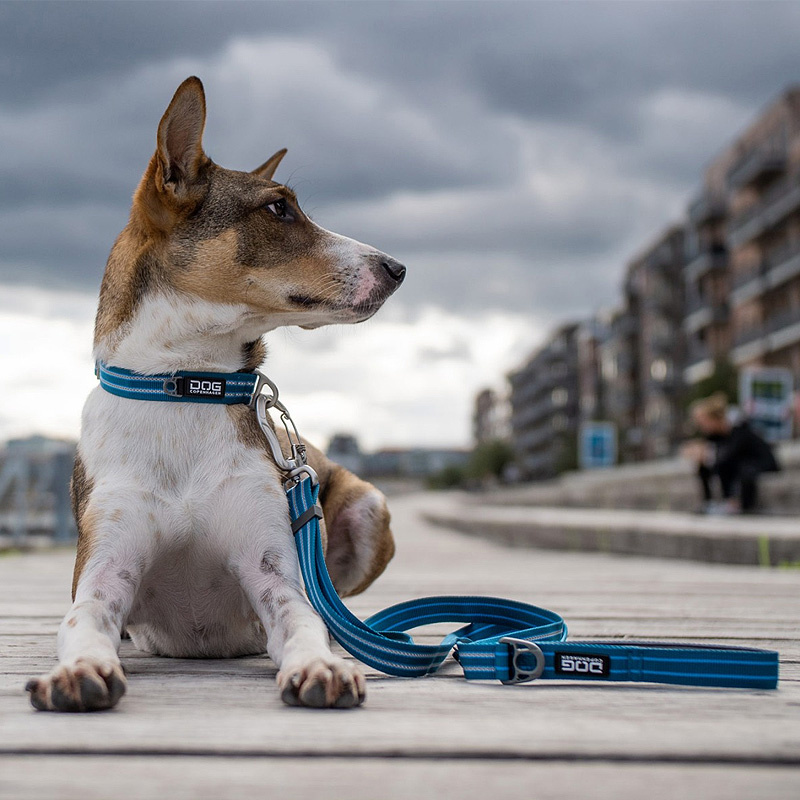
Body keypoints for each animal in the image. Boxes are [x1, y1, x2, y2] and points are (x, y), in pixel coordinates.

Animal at [25, 78, 406, 708]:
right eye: (278, 207)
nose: (397, 268)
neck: (188, 387)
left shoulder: (275, 577)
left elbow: (306, 621)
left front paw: (321, 666)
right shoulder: (103, 574)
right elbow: (83, 623)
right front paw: (78, 672)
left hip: (367, 509)